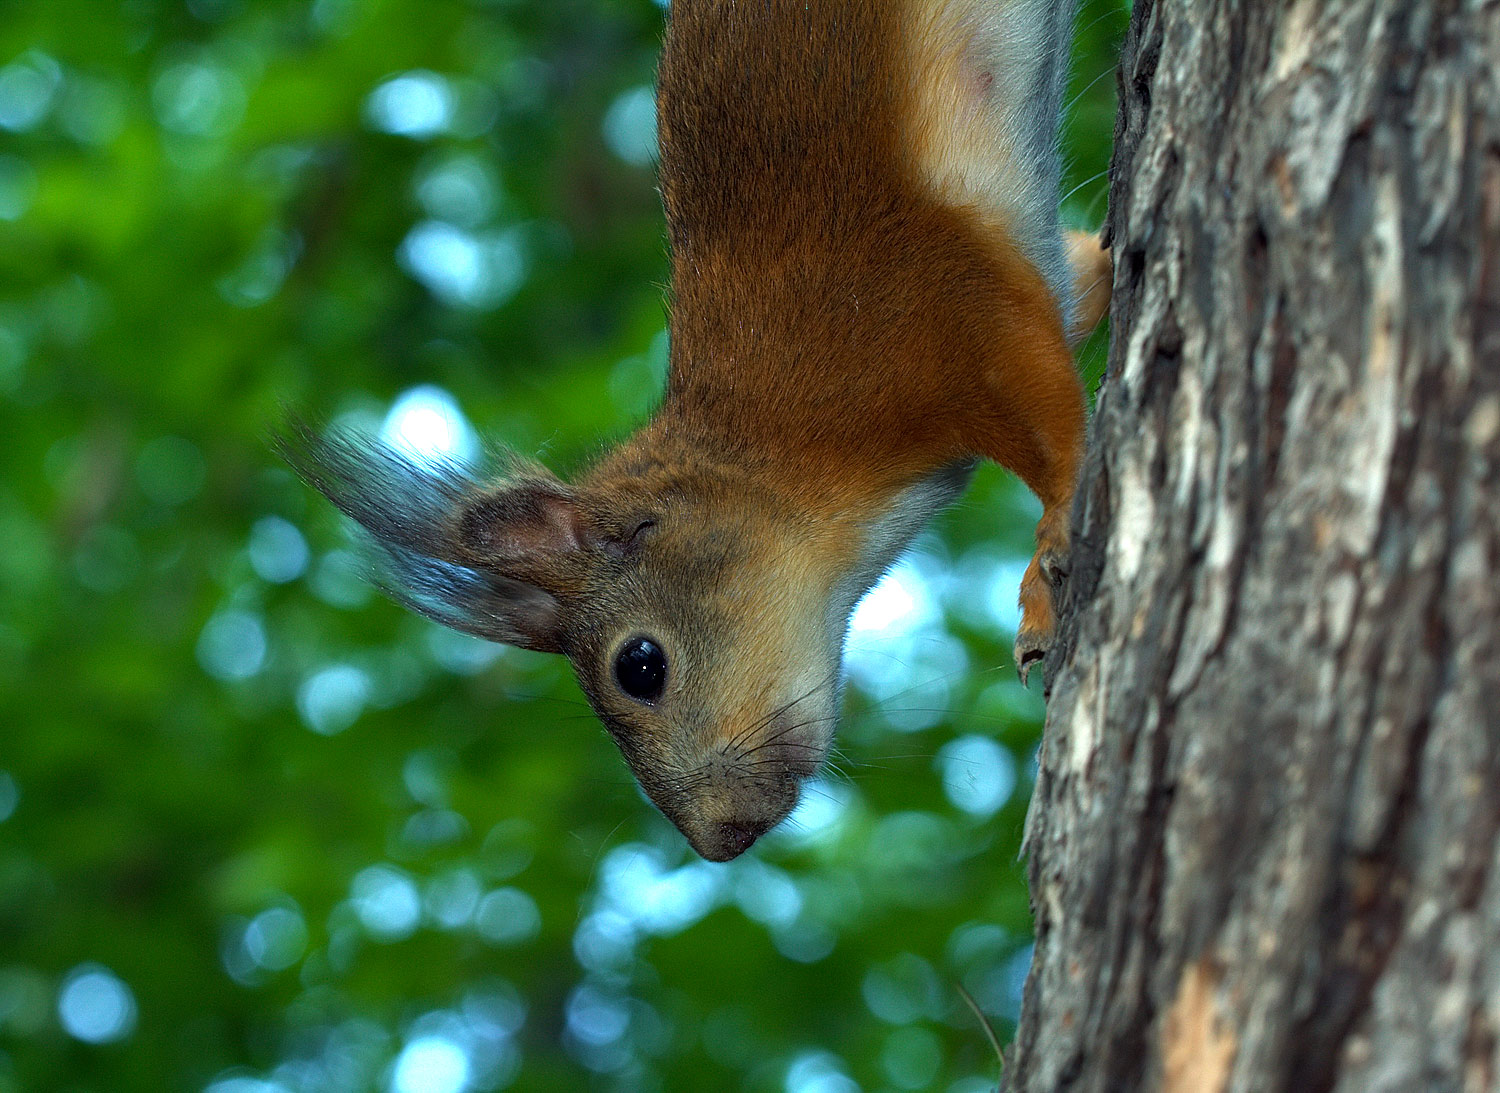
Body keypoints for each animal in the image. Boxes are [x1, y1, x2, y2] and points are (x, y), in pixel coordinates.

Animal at [282, 2, 1110, 863]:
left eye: (640, 665)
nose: (719, 839)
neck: (767, 448)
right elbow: (1083, 283)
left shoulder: (927, 315)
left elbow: (1048, 422)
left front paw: (1048, 559)